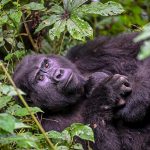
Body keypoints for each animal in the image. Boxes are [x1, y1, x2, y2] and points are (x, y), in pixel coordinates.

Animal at [12, 33, 150, 150]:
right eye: (40, 78)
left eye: (46, 65)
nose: (58, 74)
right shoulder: (51, 128)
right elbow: (110, 146)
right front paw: (105, 93)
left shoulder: (83, 53)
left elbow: (140, 44)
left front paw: (136, 99)